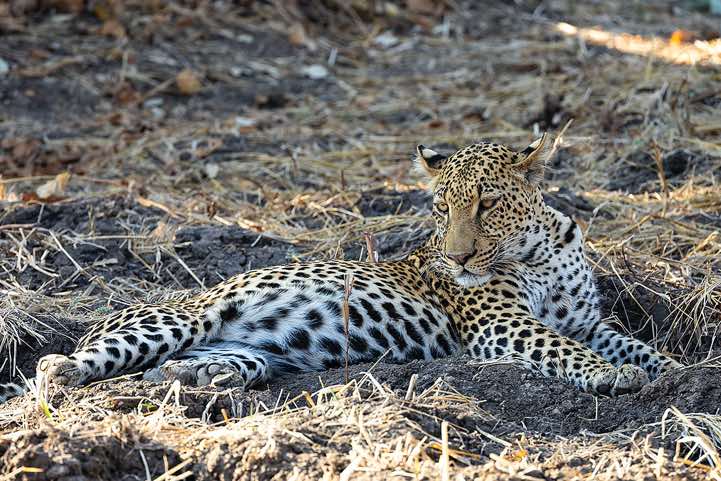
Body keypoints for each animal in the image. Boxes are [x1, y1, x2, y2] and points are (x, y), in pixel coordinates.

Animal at [0, 134, 681, 404]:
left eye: (487, 203)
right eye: (442, 207)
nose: (458, 256)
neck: (538, 248)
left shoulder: (591, 322)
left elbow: (639, 347)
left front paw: (681, 376)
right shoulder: (501, 324)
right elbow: (563, 348)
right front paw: (613, 378)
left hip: (242, 352)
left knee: (173, 369)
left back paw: (200, 381)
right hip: (181, 316)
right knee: (68, 363)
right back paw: (61, 374)